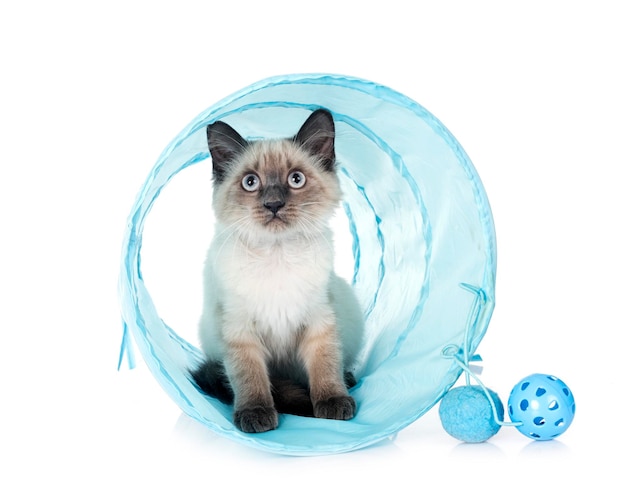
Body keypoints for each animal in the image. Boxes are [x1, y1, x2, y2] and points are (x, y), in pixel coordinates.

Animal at [193, 109, 364, 432]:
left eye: (296, 179)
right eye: (250, 182)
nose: (273, 204)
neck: (277, 253)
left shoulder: (319, 321)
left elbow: (325, 366)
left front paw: (332, 402)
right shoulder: (239, 330)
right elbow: (250, 378)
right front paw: (256, 413)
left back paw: (348, 380)